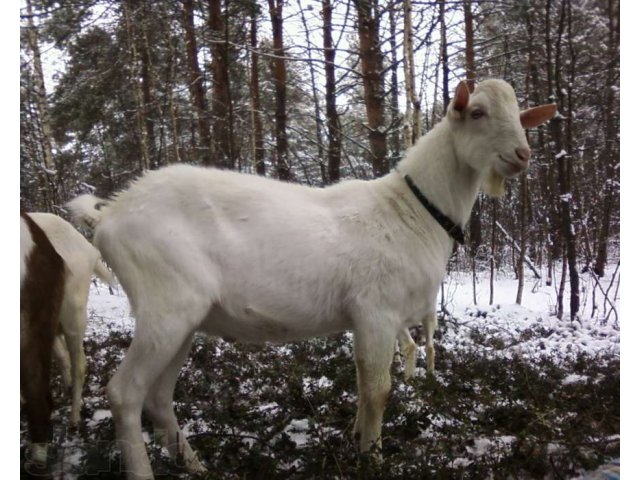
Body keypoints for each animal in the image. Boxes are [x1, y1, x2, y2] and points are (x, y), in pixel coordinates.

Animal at [66, 79, 556, 476]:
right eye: (477, 112)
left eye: (520, 117)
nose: (523, 155)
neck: (412, 211)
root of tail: (109, 214)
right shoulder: (377, 311)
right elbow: (379, 389)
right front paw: (372, 457)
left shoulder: (368, 319)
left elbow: (362, 384)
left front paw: (355, 438)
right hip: (165, 303)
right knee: (125, 393)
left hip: (182, 317)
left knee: (158, 397)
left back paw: (196, 465)